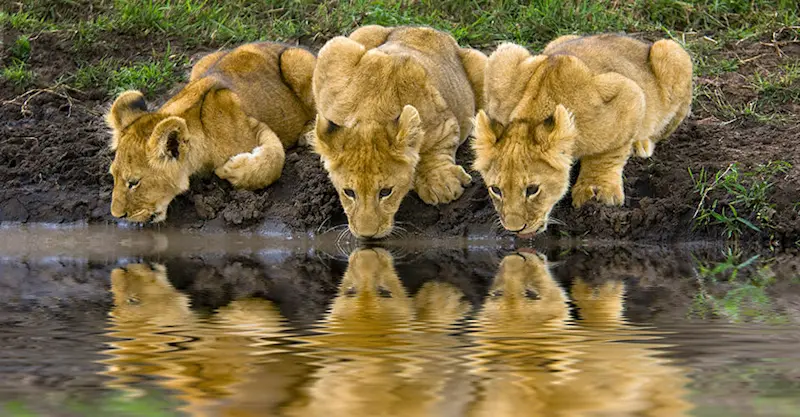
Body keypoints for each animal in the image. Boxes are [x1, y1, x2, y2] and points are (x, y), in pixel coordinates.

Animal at [106, 42, 316, 222]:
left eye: (133, 182)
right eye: (113, 176)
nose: (117, 215)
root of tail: (281, 44)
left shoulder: (255, 125)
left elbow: (274, 159)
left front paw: (229, 170)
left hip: (296, 61)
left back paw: (309, 133)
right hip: (201, 63)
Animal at [311, 25, 487, 238]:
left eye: (386, 192)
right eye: (349, 192)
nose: (367, 235)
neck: (371, 112)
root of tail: (427, 29)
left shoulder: (444, 123)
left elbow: (435, 149)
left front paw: (442, 184)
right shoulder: (332, 55)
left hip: (484, 66)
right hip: (357, 34)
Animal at [473, 34, 692, 236]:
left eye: (532, 189)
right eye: (496, 190)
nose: (515, 229)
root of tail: (636, 41)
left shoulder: (628, 92)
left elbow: (608, 152)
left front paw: (596, 190)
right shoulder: (503, 59)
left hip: (671, 51)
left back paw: (641, 144)